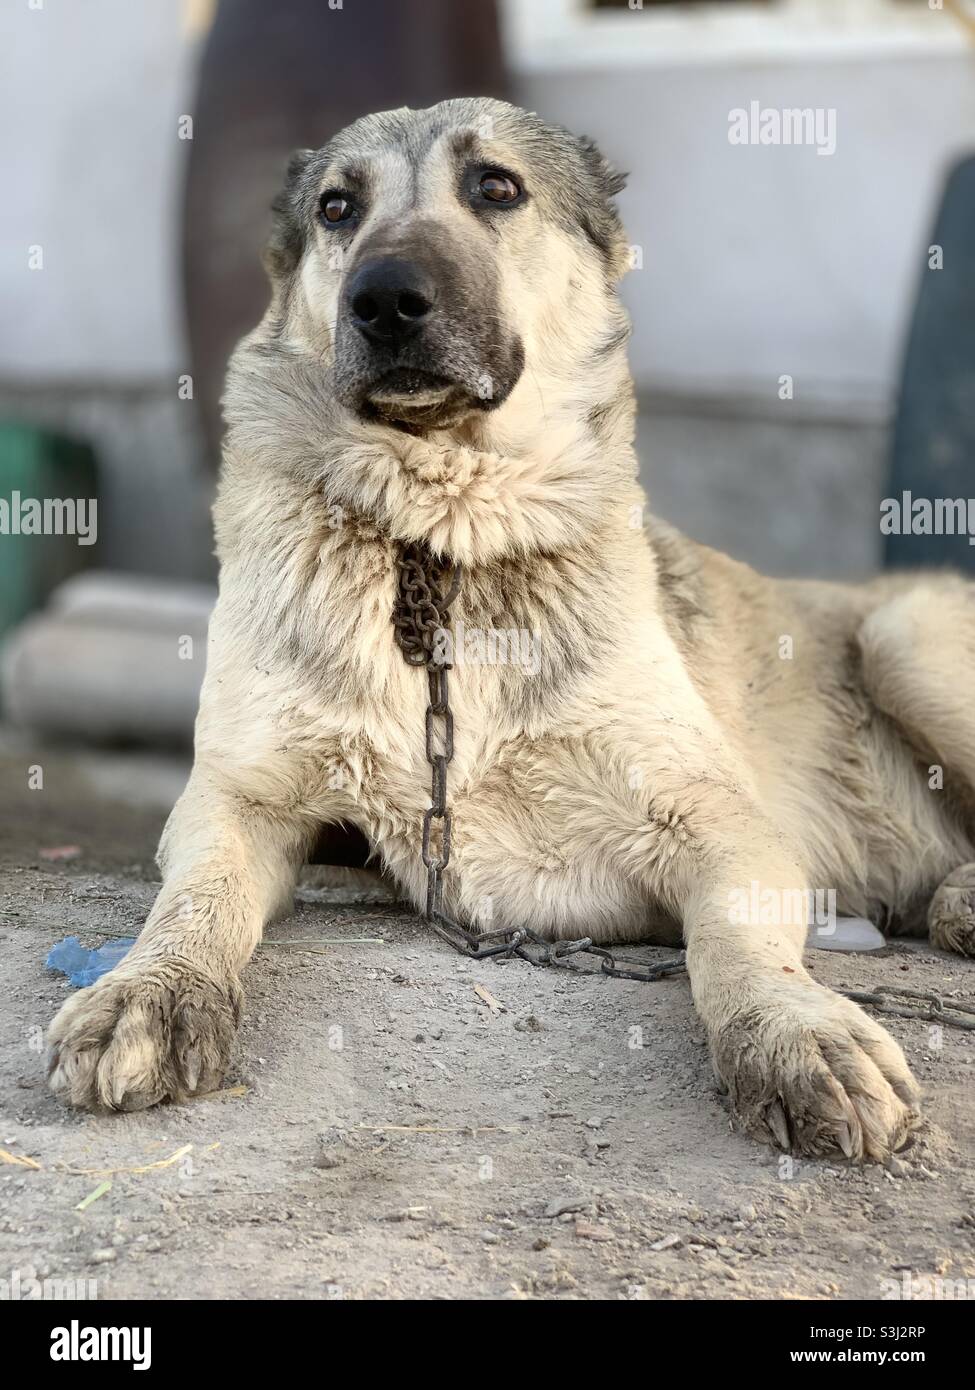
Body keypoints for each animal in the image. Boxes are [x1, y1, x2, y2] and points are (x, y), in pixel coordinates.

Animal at [49, 100, 973, 1162]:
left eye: (495, 187)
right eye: (337, 208)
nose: (384, 300)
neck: (441, 546)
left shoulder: (719, 823)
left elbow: (734, 945)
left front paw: (791, 1029)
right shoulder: (241, 799)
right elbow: (194, 899)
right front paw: (149, 990)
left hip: (906, 635)